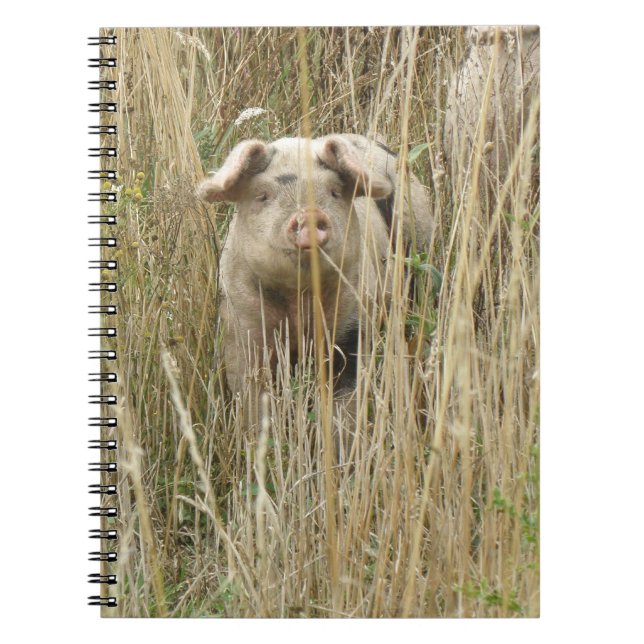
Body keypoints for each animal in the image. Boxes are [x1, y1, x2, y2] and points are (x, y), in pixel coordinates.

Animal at [197, 134, 432, 401]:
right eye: (263, 195)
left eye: (335, 192)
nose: (309, 213)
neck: (299, 301)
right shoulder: (240, 325)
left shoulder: (355, 322)